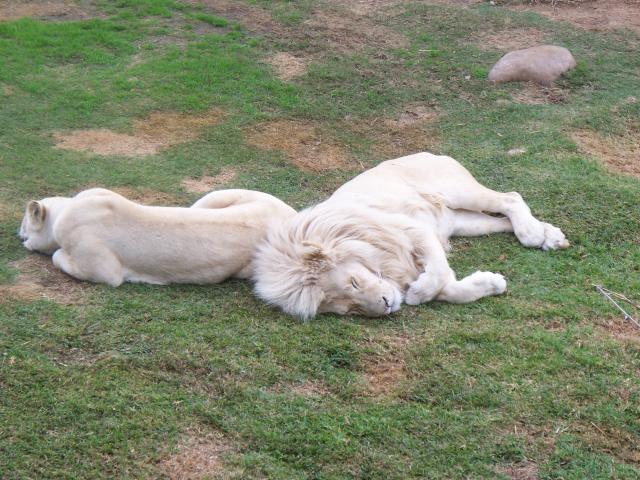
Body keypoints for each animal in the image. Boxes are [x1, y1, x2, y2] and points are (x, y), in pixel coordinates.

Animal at [253, 152, 569, 320]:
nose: (386, 305)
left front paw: (418, 293)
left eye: (353, 283)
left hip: (457, 191)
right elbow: (452, 290)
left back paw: (533, 234)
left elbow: (438, 274)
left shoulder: (413, 229)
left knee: (510, 197)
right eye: (346, 309)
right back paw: (548, 235)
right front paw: (492, 283)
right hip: (462, 221)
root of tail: (429, 153)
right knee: (502, 218)